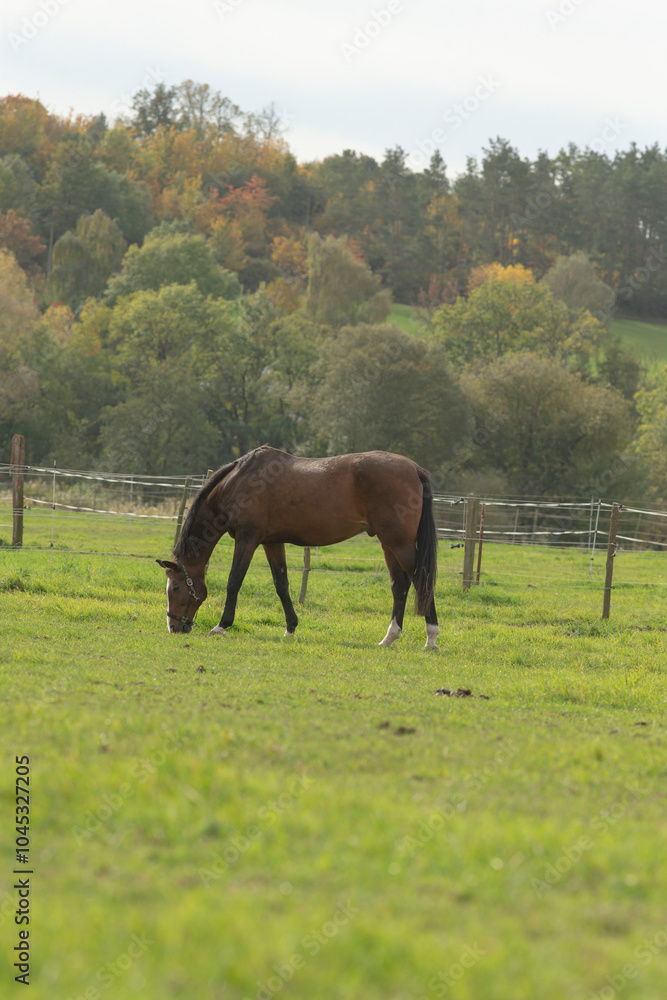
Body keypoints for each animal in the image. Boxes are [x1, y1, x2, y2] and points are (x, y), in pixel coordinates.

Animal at [157, 445, 439, 648]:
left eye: (176, 587)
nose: (174, 627)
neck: (239, 482)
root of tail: (414, 468)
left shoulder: (247, 539)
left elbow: (234, 581)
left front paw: (221, 626)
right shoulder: (272, 542)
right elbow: (281, 585)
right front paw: (290, 628)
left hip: (398, 542)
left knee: (420, 580)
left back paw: (431, 637)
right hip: (388, 542)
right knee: (400, 585)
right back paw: (390, 637)